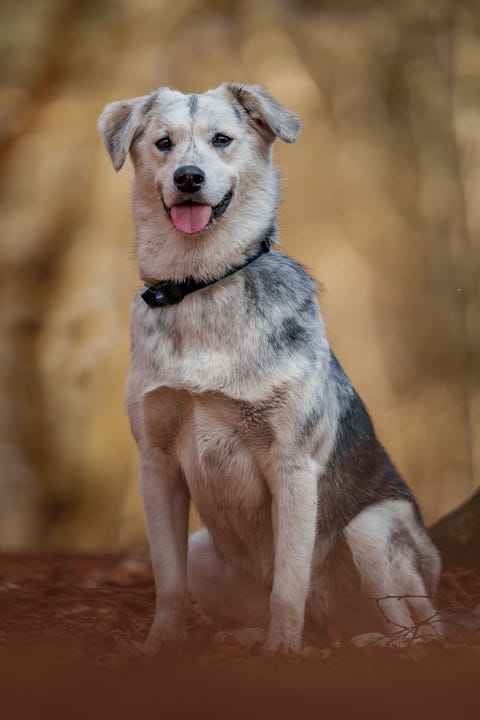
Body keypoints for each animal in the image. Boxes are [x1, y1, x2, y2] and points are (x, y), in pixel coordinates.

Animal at [97, 84, 442, 652]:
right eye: (163, 143)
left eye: (221, 140)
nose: (188, 177)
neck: (202, 285)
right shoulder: (156, 462)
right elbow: (168, 580)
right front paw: (161, 644)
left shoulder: (293, 464)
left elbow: (290, 580)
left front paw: (282, 652)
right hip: (204, 550)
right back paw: (250, 636)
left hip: (372, 529)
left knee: (417, 624)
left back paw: (371, 642)